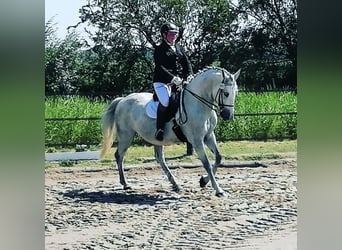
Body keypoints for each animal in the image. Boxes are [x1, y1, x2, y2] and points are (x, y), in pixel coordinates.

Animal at [100, 67, 240, 197]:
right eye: (226, 93)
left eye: (236, 92)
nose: (228, 115)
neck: (198, 103)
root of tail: (122, 100)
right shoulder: (196, 140)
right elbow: (207, 164)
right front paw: (218, 190)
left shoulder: (209, 136)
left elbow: (218, 158)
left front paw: (203, 181)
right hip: (126, 136)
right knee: (119, 156)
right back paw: (125, 183)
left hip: (154, 139)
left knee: (160, 159)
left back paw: (175, 184)